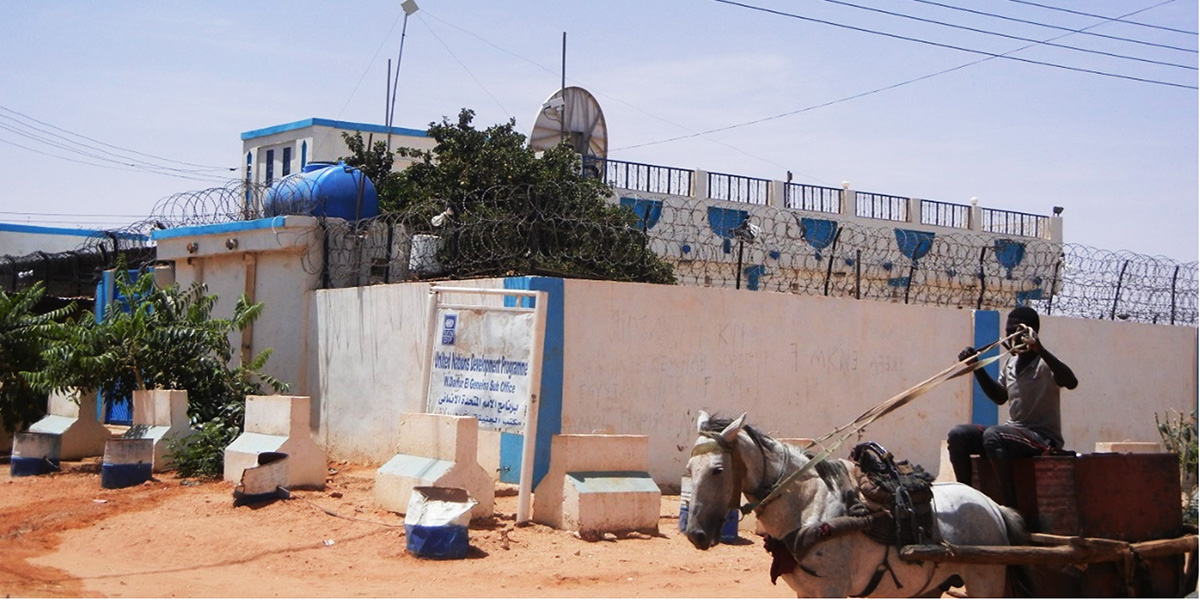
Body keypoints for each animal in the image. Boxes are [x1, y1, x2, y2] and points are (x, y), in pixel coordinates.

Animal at [686, 410, 1032, 597]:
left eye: (718, 470)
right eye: (689, 469)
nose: (695, 534)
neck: (808, 507)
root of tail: (993, 507)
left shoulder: (832, 590)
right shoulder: (805, 592)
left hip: (986, 582)